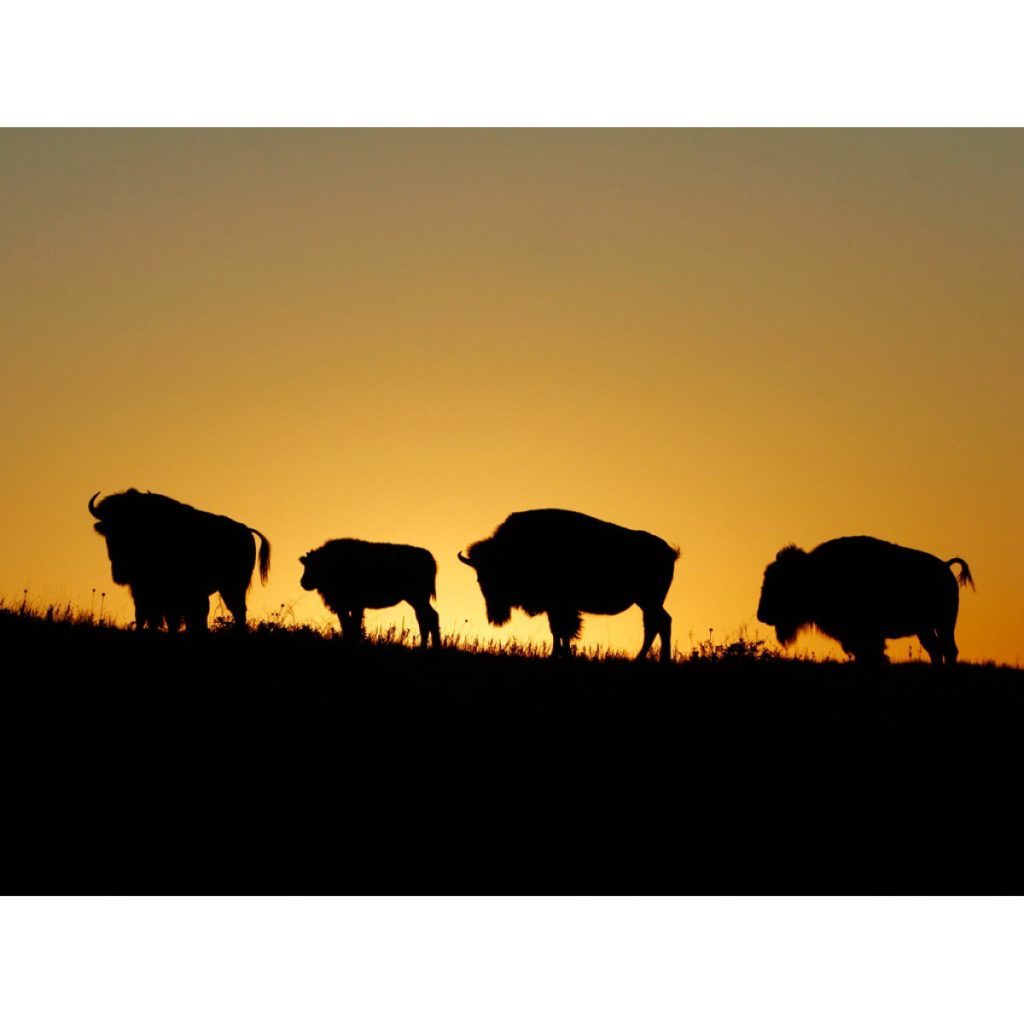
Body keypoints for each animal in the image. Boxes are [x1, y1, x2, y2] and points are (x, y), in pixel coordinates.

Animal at [89, 489, 272, 630]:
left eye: (133, 526)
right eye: (110, 529)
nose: (121, 571)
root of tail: (246, 530)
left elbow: (168, 618)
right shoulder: (140, 590)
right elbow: (143, 615)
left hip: (232, 586)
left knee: (238, 610)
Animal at [296, 536, 440, 647]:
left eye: (314, 566)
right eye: (306, 565)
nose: (303, 582)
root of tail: (430, 559)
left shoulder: (354, 606)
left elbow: (353, 625)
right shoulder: (344, 607)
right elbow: (346, 625)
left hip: (417, 598)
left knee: (430, 617)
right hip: (417, 600)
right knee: (425, 618)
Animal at [458, 507, 679, 659]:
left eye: (500, 575)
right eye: (480, 578)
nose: (496, 615)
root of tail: (669, 552)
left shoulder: (561, 605)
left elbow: (563, 629)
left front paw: (559, 655)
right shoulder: (555, 606)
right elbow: (558, 630)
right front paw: (559, 654)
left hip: (649, 600)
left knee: (659, 623)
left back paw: (656, 659)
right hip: (646, 602)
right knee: (657, 624)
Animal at [757, 532, 970, 667]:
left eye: (780, 581)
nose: (761, 615)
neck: (814, 571)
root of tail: (945, 566)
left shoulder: (867, 635)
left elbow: (872, 654)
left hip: (944, 624)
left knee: (948, 650)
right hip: (925, 628)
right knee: (936, 650)